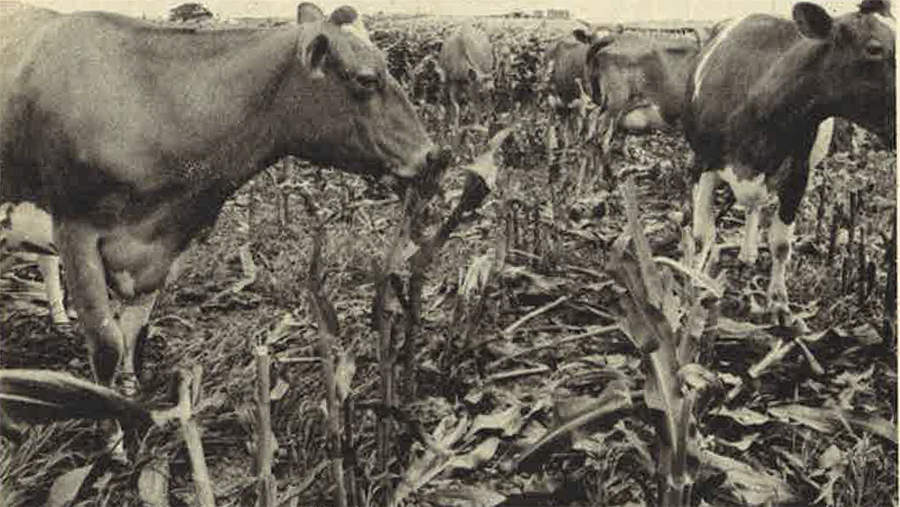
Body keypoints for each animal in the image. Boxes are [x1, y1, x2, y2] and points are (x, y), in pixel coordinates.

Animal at [684, 0, 896, 324]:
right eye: (874, 49)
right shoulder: (703, 163)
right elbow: (701, 235)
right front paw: (696, 286)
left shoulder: (798, 173)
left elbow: (781, 243)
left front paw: (779, 304)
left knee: (754, 207)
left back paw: (748, 254)